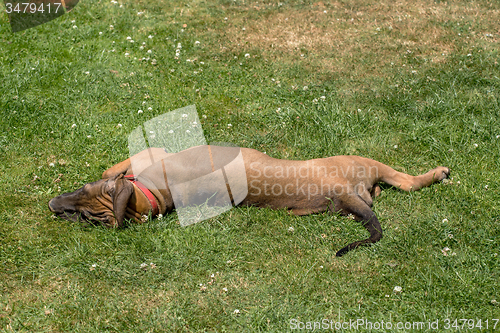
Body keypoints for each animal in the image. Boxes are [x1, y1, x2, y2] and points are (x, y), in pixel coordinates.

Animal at [49, 144, 450, 255]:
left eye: (83, 194)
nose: (53, 208)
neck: (153, 195)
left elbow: (113, 166)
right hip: (361, 162)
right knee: (405, 182)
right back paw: (434, 173)